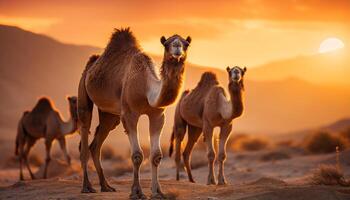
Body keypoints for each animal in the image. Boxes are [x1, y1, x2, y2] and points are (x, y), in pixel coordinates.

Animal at [78, 27, 191, 198]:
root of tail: (92, 64)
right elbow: (137, 155)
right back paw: (87, 187)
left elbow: (156, 155)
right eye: (166, 44)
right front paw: (136, 192)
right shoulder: (130, 114)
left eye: (186, 44)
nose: (177, 47)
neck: (146, 89)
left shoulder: (157, 115)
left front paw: (158, 192)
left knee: (96, 143)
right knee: (84, 133)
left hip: (110, 115)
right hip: (83, 90)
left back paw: (106, 186)